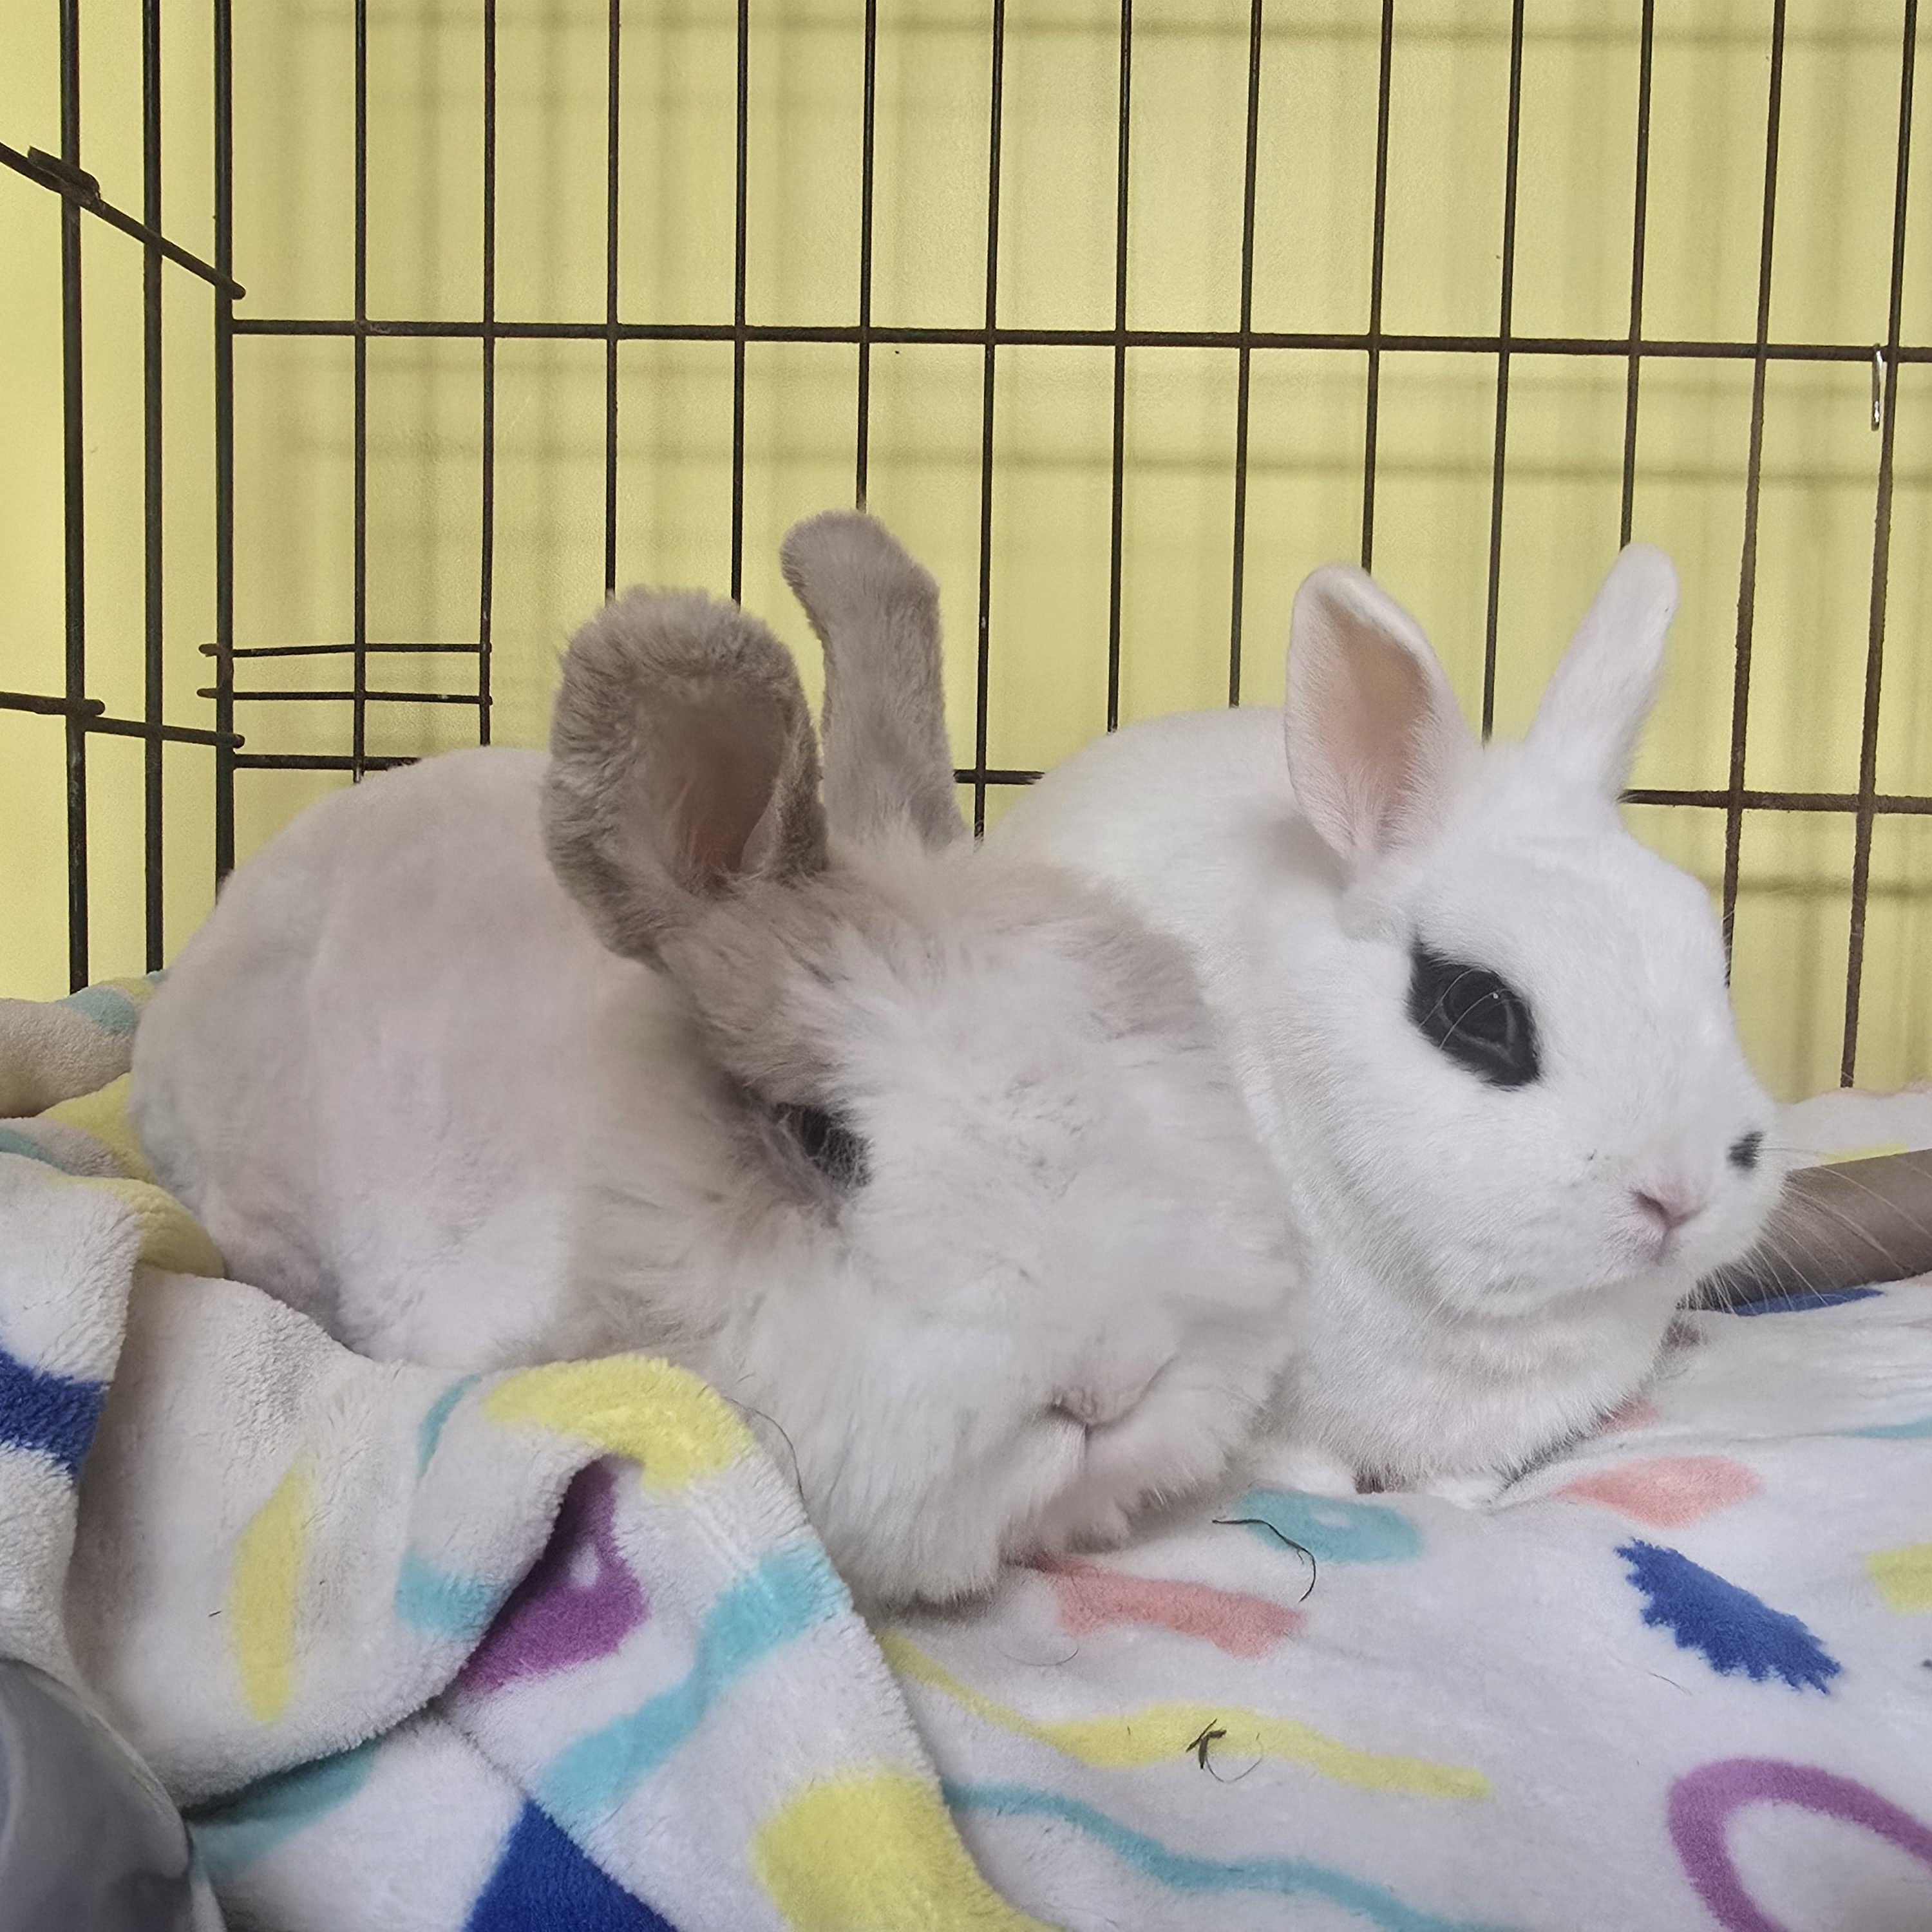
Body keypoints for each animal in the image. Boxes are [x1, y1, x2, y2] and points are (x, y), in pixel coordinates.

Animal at [992, 544, 1784, 1502]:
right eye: (1477, 1007)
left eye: (1714, 963)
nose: (1680, 1193)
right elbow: (1296, 1464)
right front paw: (1323, 1502)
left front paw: (1456, 1509)